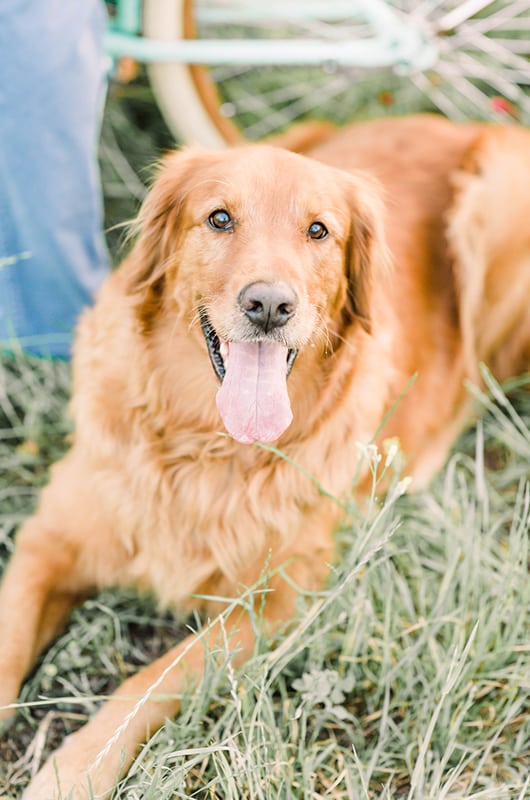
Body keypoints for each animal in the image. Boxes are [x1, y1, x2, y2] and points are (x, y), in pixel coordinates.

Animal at [0, 114, 524, 800]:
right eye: (220, 218)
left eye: (319, 230)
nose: (270, 305)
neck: (205, 444)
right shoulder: (47, 540)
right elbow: (8, 639)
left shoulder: (274, 602)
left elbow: (149, 680)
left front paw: (74, 771)